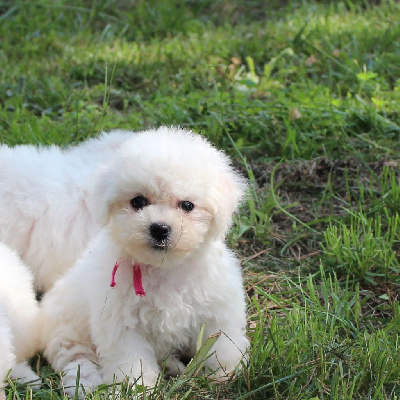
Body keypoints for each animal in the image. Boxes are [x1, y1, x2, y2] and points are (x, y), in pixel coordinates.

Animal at [39, 127, 247, 396]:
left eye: (187, 205)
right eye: (137, 201)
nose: (159, 229)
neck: (165, 268)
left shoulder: (218, 309)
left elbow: (221, 344)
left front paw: (224, 375)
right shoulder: (122, 325)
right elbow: (131, 361)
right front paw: (137, 389)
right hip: (66, 333)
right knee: (77, 360)